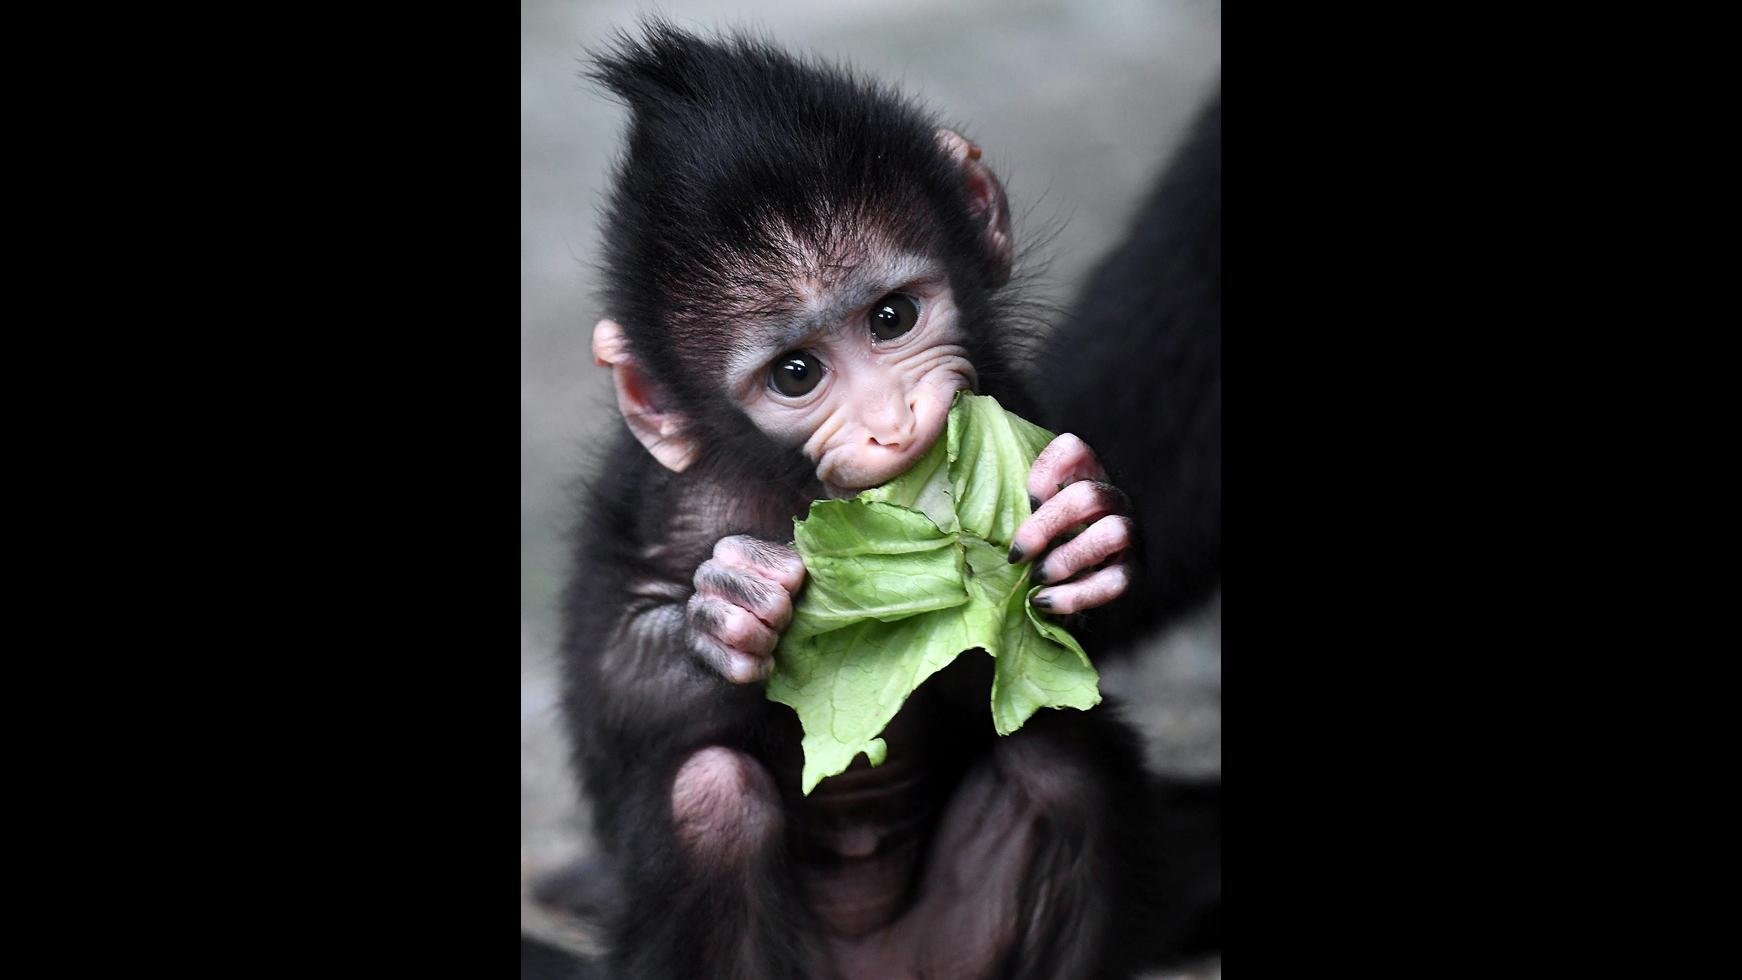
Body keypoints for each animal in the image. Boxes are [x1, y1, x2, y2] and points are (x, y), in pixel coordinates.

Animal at [564, 23, 1170, 980]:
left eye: (891, 318)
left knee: (1058, 765)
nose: (892, 426)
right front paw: (730, 611)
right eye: (795, 374)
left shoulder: (1010, 393)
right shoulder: (666, 495)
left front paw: (1092, 533)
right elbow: (608, 711)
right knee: (711, 803)